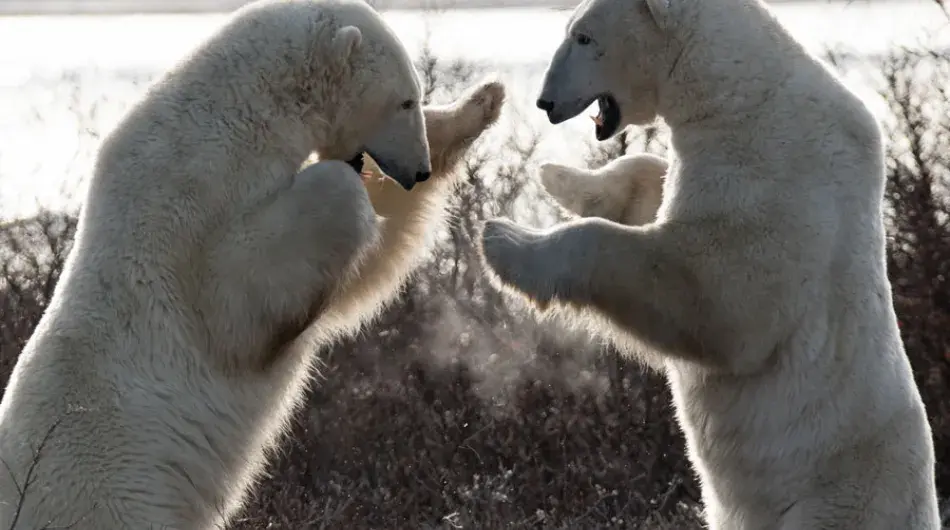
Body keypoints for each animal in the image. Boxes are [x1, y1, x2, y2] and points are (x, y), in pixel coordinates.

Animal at [0, 0, 506, 527]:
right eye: (404, 101)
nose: (419, 171)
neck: (231, 124)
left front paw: (481, 102)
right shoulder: (187, 209)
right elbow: (239, 304)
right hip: (110, 499)